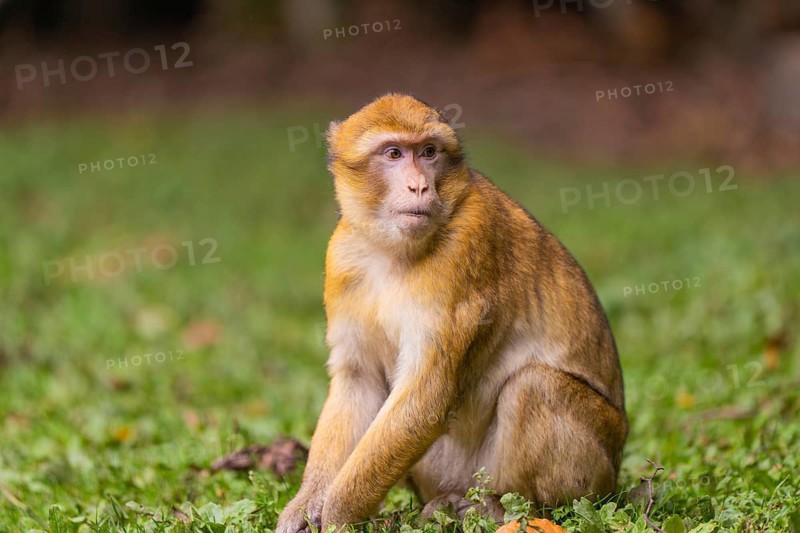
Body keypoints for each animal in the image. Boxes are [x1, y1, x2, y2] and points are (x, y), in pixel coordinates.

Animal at [275, 93, 627, 533]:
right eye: (394, 153)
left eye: (429, 152)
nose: (419, 185)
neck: (393, 251)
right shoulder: (342, 256)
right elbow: (358, 380)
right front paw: (305, 507)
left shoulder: (466, 246)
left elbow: (427, 398)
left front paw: (339, 516)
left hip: (594, 471)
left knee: (534, 386)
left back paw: (506, 509)